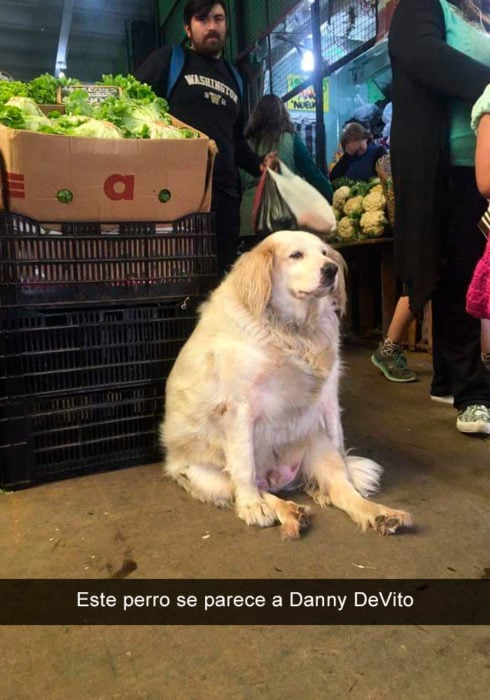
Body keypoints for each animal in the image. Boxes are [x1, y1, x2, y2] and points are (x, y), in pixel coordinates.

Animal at [162, 232, 414, 540]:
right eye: (296, 255)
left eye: (324, 253)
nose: (331, 269)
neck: (293, 329)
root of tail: (278, 479)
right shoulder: (239, 408)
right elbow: (244, 466)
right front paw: (252, 507)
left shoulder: (329, 396)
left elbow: (340, 444)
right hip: (208, 476)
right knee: (256, 489)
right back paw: (286, 511)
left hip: (318, 447)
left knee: (342, 489)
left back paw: (380, 514)